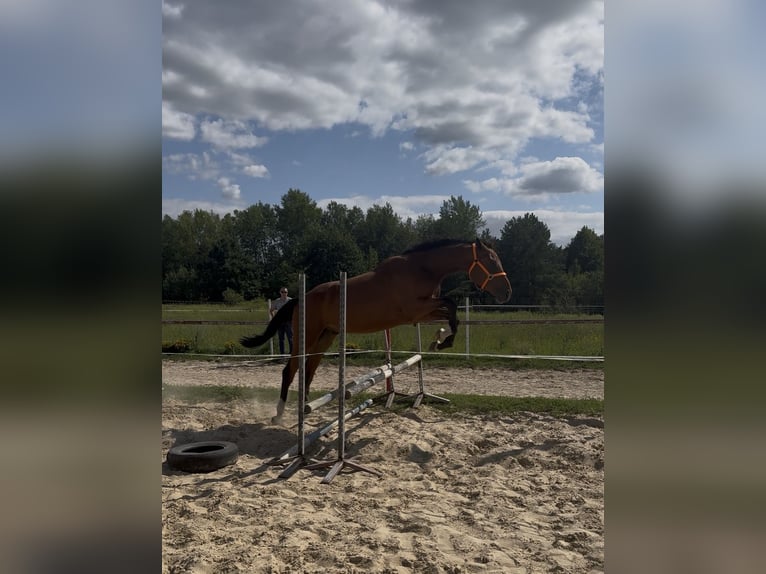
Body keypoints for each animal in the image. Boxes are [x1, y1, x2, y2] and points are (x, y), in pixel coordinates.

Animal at [240, 238, 512, 424]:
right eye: (491, 261)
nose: (506, 293)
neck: (422, 268)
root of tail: (300, 298)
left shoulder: (422, 312)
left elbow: (452, 313)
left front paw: (440, 340)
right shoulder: (416, 310)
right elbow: (451, 305)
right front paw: (442, 341)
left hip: (326, 337)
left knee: (309, 369)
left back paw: (306, 408)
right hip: (306, 336)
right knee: (290, 370)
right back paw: (279, 414)